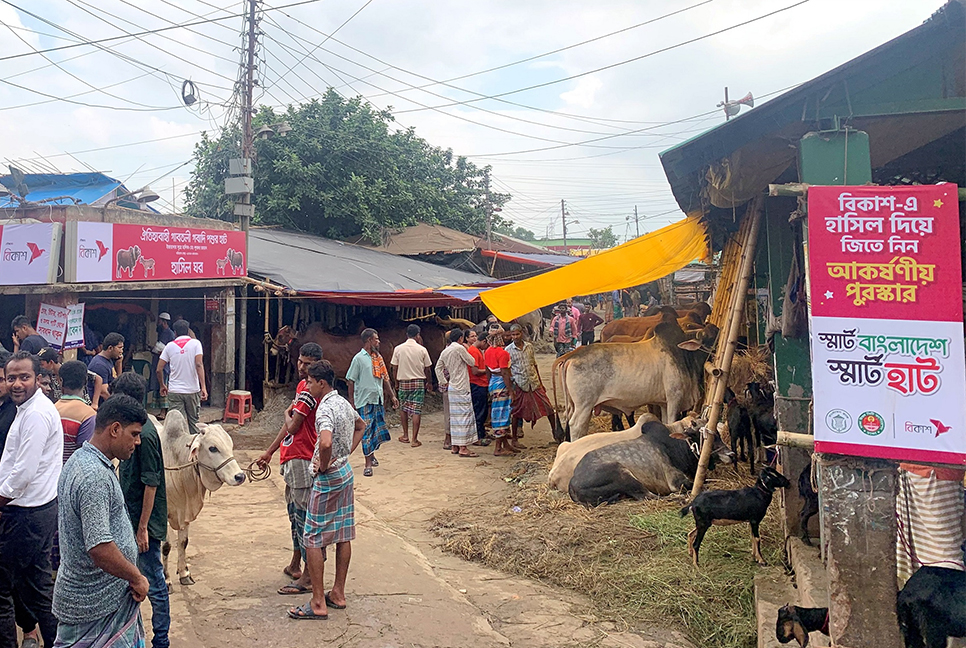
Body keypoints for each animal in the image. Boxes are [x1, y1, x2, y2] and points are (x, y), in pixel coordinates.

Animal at [568, 420, 732, 506]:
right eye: (705, 438)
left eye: (718, 434)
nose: (731, 454)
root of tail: (572, 483)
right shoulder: (676, 481)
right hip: (623, 475)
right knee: (648, 496)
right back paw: (679, 498)